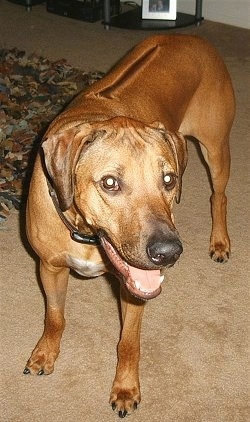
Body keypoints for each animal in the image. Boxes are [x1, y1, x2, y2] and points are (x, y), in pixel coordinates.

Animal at [23, 34, 234, 418]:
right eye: (110, 183)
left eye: (168, 180)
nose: (169, 253)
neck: (86, 234)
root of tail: (191, 35)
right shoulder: (50, 267)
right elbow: (55, 317)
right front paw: (45, 352)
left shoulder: (135, 288)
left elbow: (128, 343)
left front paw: (124, 388)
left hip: (215, 147)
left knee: (220, 196)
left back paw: (221, 242)